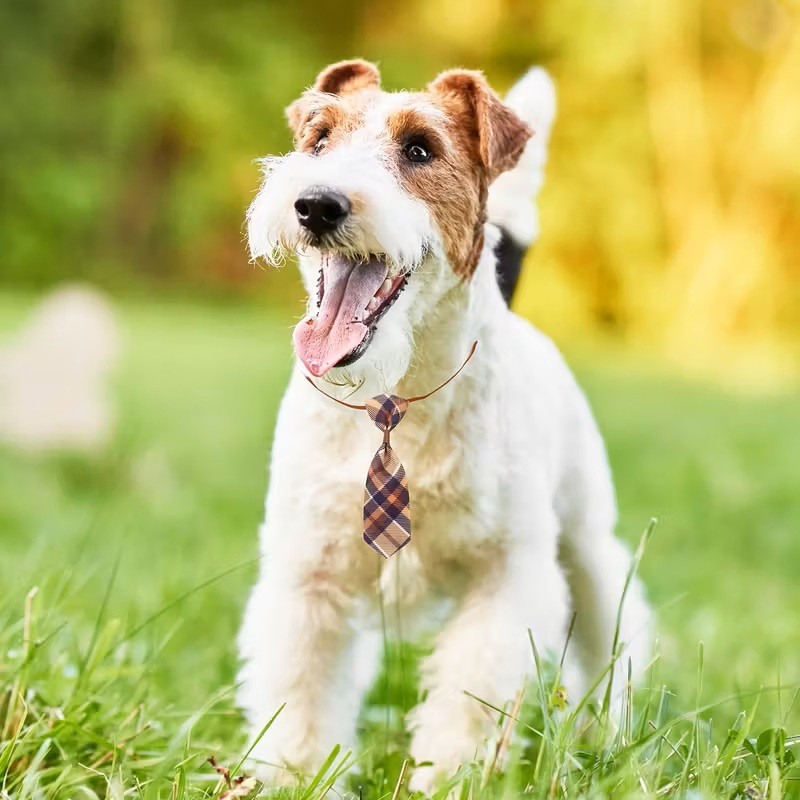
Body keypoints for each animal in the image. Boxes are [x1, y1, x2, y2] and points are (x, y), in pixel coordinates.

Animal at [238, 60, 651, 793]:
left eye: (420, 150)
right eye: (318, 138)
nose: (317, 204)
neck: (394, 403)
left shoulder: (506, 574)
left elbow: (468, 695)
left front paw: (451, 777)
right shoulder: (307, 575)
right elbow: (301, 699)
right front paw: (294, 777)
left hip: (585, 544)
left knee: (616, 638)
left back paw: (609, 735)